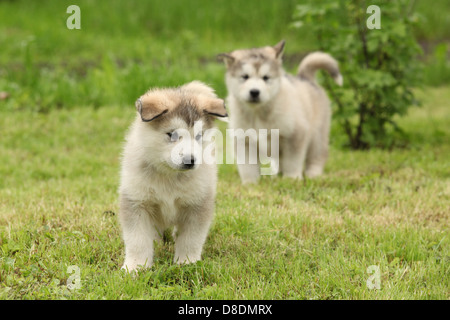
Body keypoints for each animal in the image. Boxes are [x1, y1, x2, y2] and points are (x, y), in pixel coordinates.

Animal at [118, 81, 227, 272]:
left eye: (199, 136)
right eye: (173, 134)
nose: (191, 160)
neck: (169, 175)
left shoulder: (197, 204)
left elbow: (191, 239)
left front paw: (186, 263)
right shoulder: (136, 201)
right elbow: (137, 240)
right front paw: (135, 267)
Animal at [220, 41, 342, 184]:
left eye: (266, 77)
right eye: (245, 77)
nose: (254, 92)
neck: (258, 113)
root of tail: (306, 78)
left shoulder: (295, 135)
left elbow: (292, 162)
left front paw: (292, 178)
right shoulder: (244, 140)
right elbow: (248, 168)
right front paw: (250, 184)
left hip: (317, 136)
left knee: (317, 156)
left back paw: (313, 174)